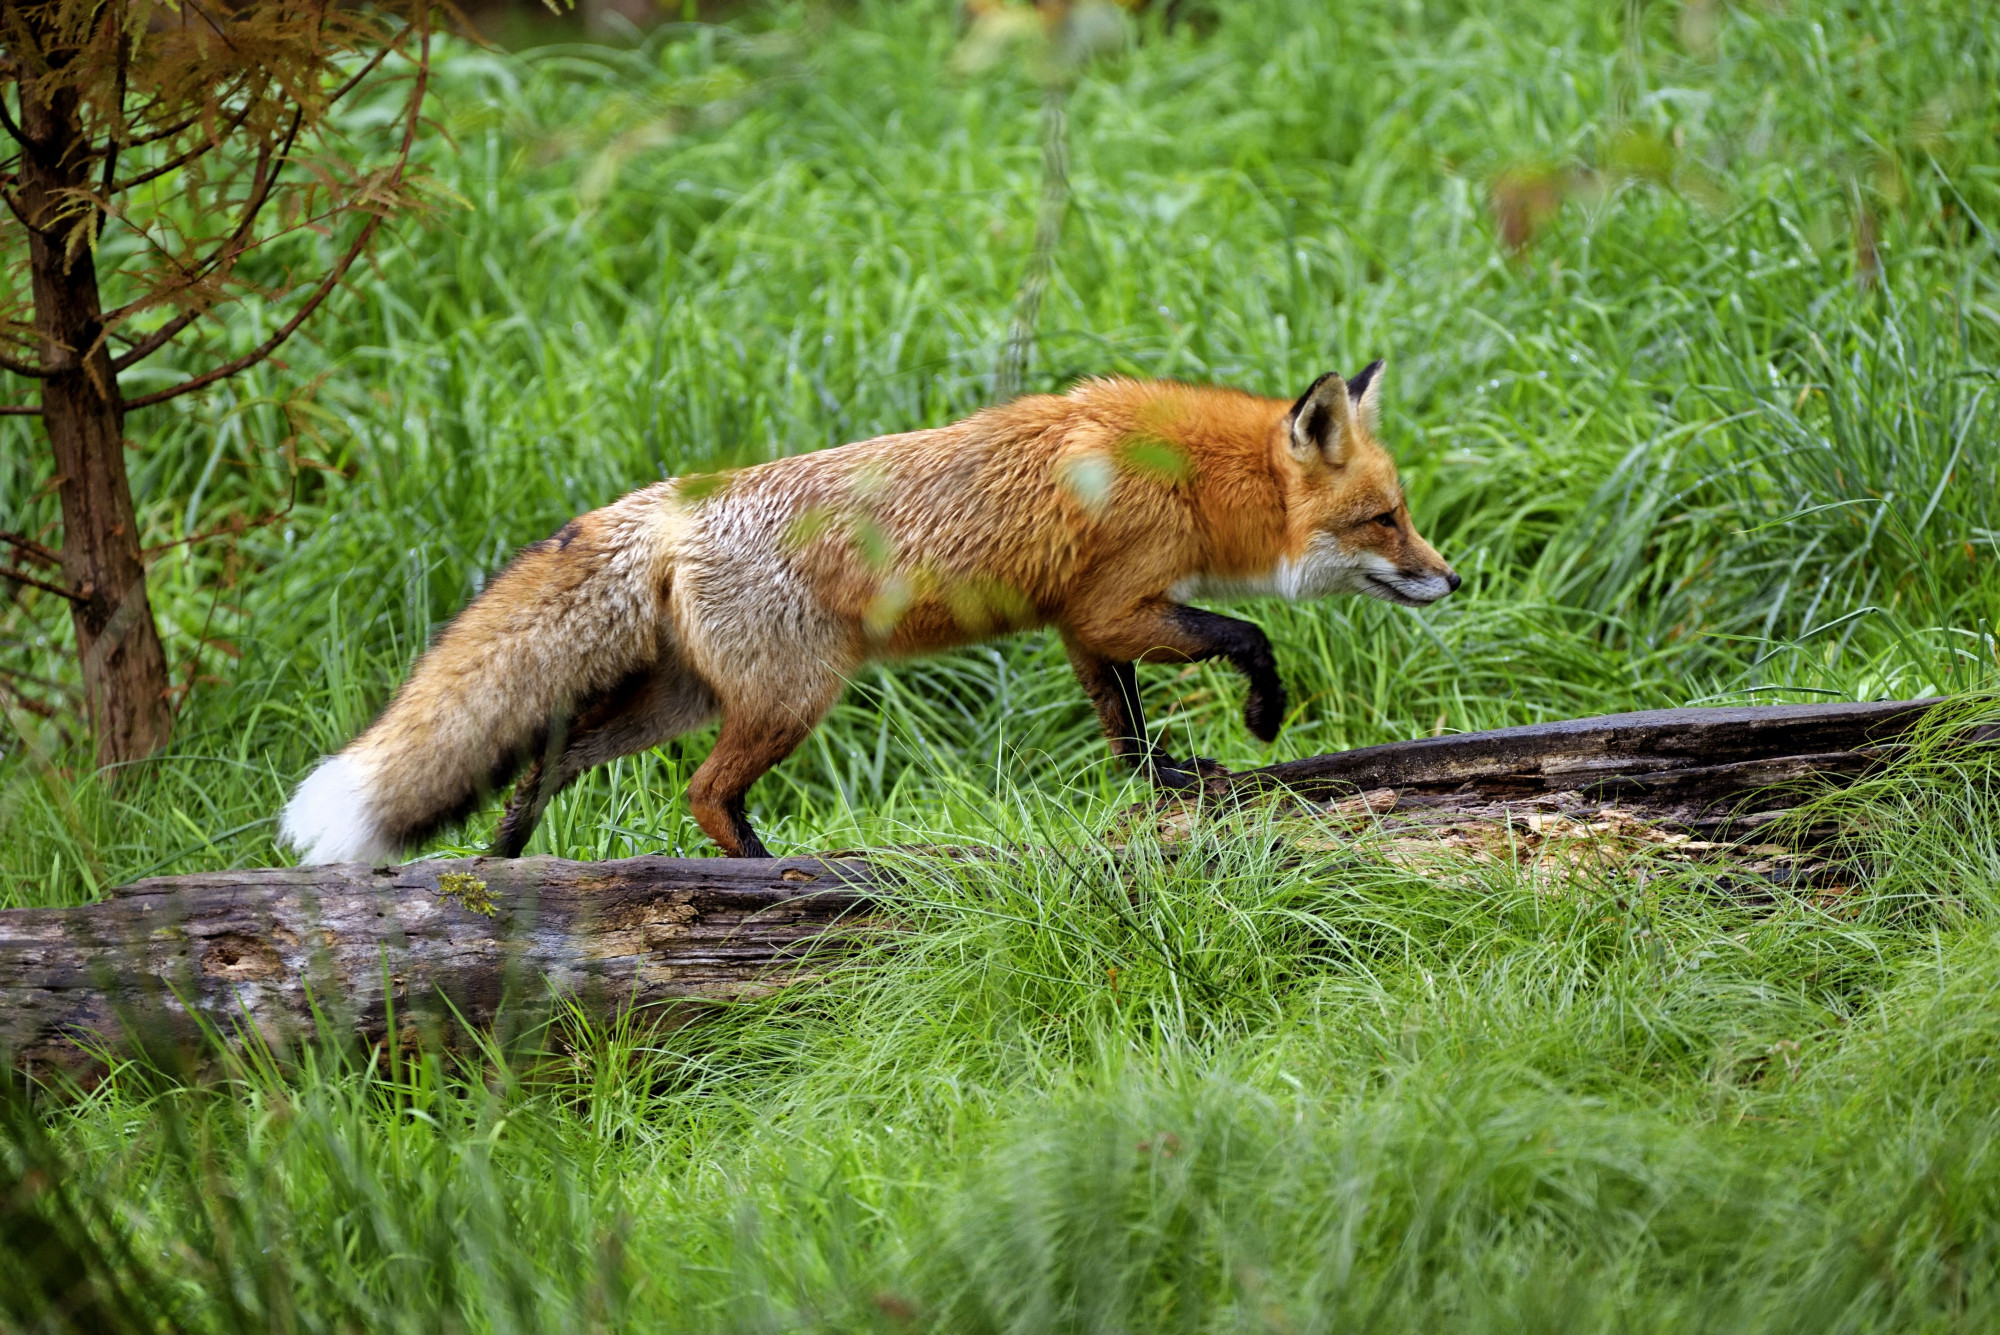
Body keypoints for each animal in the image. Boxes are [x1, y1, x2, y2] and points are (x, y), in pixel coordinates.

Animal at [278, 361, 1456, 867]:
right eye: (1385, 520)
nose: (1452, 581)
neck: (1190, 475)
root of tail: (666, 505)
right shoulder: (1120, 606)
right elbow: (1246, 637)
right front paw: (1261, 717)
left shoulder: (1082, 627)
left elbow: (1123, 734)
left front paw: (1168, 783)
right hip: (792, 697)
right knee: (703, 796)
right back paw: (764, 873)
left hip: (679, 702)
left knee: (552, 750)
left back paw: (502, 857)